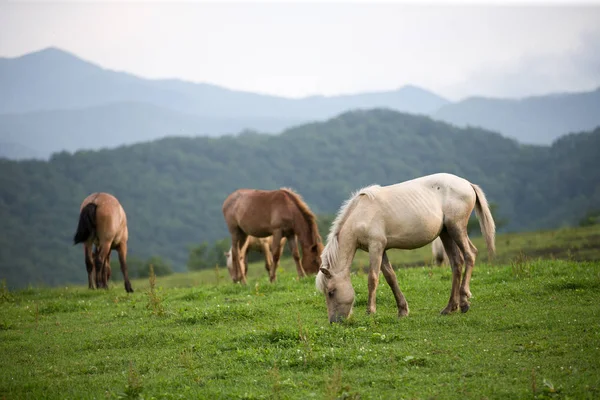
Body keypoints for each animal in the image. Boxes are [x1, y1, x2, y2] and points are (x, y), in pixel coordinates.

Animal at [316, 173, 494, 324]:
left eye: (331, 292)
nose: (334, 322)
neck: (360, 214)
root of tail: (467, 184)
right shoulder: (381, 250)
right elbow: (391, 278)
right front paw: (402, 310)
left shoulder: (376, 247)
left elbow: (373, 278)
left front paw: (370, 312)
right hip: (445, 233)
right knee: (457, 263)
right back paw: (450, 307)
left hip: (455, 228)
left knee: (470, 255)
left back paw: (464, 301)